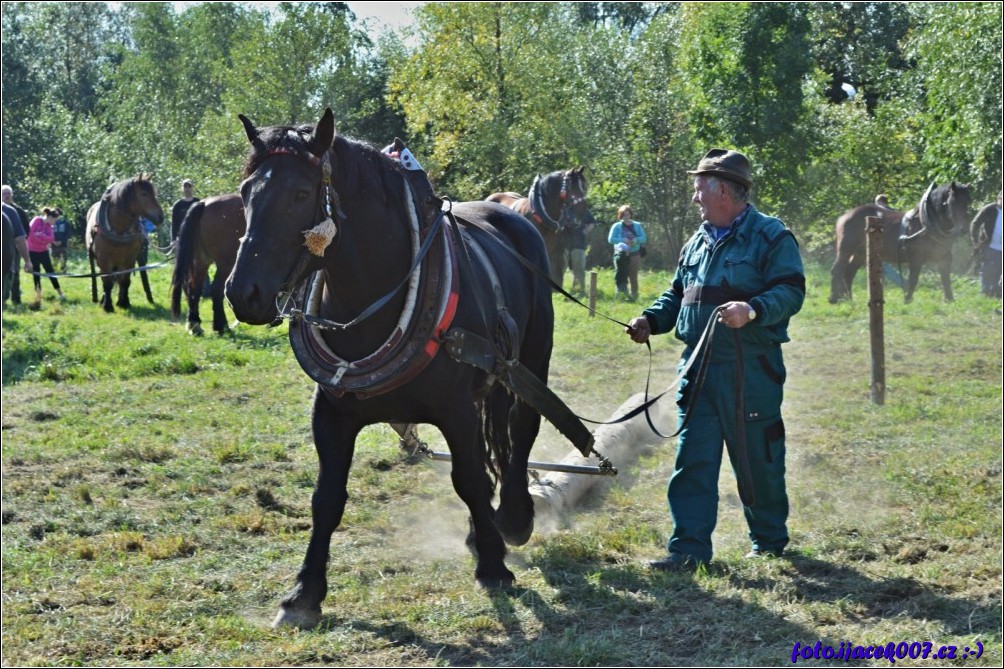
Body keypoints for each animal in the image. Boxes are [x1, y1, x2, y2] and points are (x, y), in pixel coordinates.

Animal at [84, 172, 164, 311]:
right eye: (144, 193)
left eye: (154, 192)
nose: (161, 216)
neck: (119, 229)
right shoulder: (104, 259)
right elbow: (107, 282)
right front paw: (107, 305)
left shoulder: (129, 259)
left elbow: (125, 281)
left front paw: (123, 302)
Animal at [170, 191, 244, 333]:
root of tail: (203, 204)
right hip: (226, 263)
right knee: (217, 289)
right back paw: (221, 326)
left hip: (201, 260)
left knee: (195, 287)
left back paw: (194, 324)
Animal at [225, 106, 558, 626]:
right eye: (245, 193)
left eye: (300, 193)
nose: (244, 293)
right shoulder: (332, 414)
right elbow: (327, 498)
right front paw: (303, 593)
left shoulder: (457, 410)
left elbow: (469, 479)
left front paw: (493, 565)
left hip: (530, 362)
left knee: (520, 429)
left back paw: (513, 519)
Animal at [827, 179, 967, 299]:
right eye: (951, 202)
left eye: (968, 201)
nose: (962, 229)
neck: (925, 222)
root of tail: (844, 216)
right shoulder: (916, 258)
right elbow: (913, 279)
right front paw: (907, 300)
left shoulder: (945, 257)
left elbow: (945, 278)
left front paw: (950, 299)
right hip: (846, 249)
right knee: (837, 269)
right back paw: (834, 298)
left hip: (860, 252)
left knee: (849, 272)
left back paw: (849, 298)